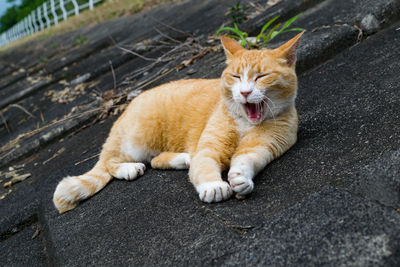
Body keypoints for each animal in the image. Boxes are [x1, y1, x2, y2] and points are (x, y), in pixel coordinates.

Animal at [53, 33, 304, 214]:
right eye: (235, 77)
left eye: (261, 77)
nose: (244, 92)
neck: (245, 123)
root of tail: (127, 108)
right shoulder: (209, 149)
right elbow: (204, 168)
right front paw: (214, 186)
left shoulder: (262, 147)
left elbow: (246, 160)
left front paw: (240, 179)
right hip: (135, 144)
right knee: (109, 163)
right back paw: (130, 168)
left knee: (155, 161)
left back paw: (183, 159)